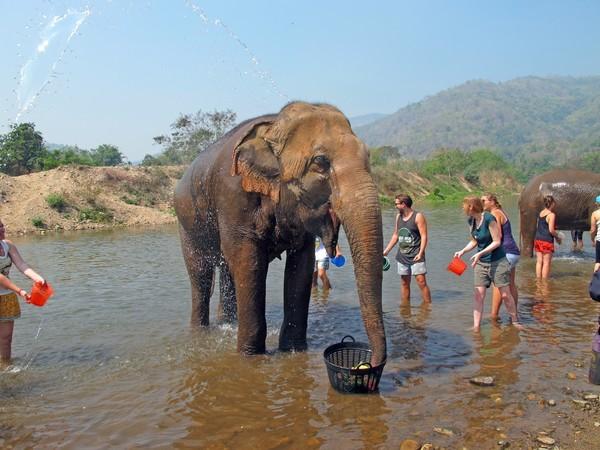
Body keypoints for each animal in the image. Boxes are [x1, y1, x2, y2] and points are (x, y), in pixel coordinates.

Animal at [172, 102, 390, 366]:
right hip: (187, 225)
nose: (372, 363)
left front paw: (294, 351)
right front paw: (249, 357)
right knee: (201, 277)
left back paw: (227, 325)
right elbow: (249, 263)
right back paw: (200, 333)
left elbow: (301, 266)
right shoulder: (232, 195)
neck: (274, 124)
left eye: (368, 156)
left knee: (226, 273)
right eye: (320, 161)